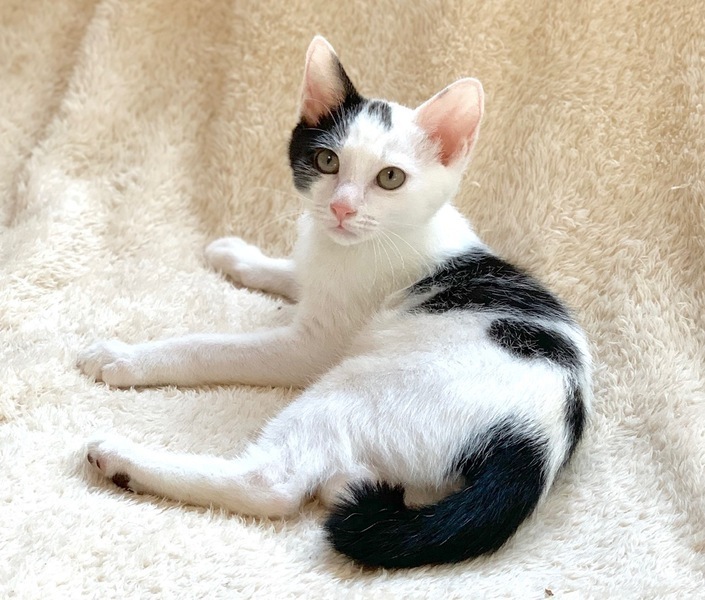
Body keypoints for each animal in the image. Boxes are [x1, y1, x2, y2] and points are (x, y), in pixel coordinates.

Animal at [78, 35, 591, 569]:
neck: (364, 244)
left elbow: (211, 347)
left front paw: (126, 357)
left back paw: (123, 460)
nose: (342, 207)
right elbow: (294, 271)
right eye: (328, 161)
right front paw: (237, 255)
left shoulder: (313, 346)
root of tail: (536, 446)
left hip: (361, 387)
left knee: (273, 483)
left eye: (391, 178)